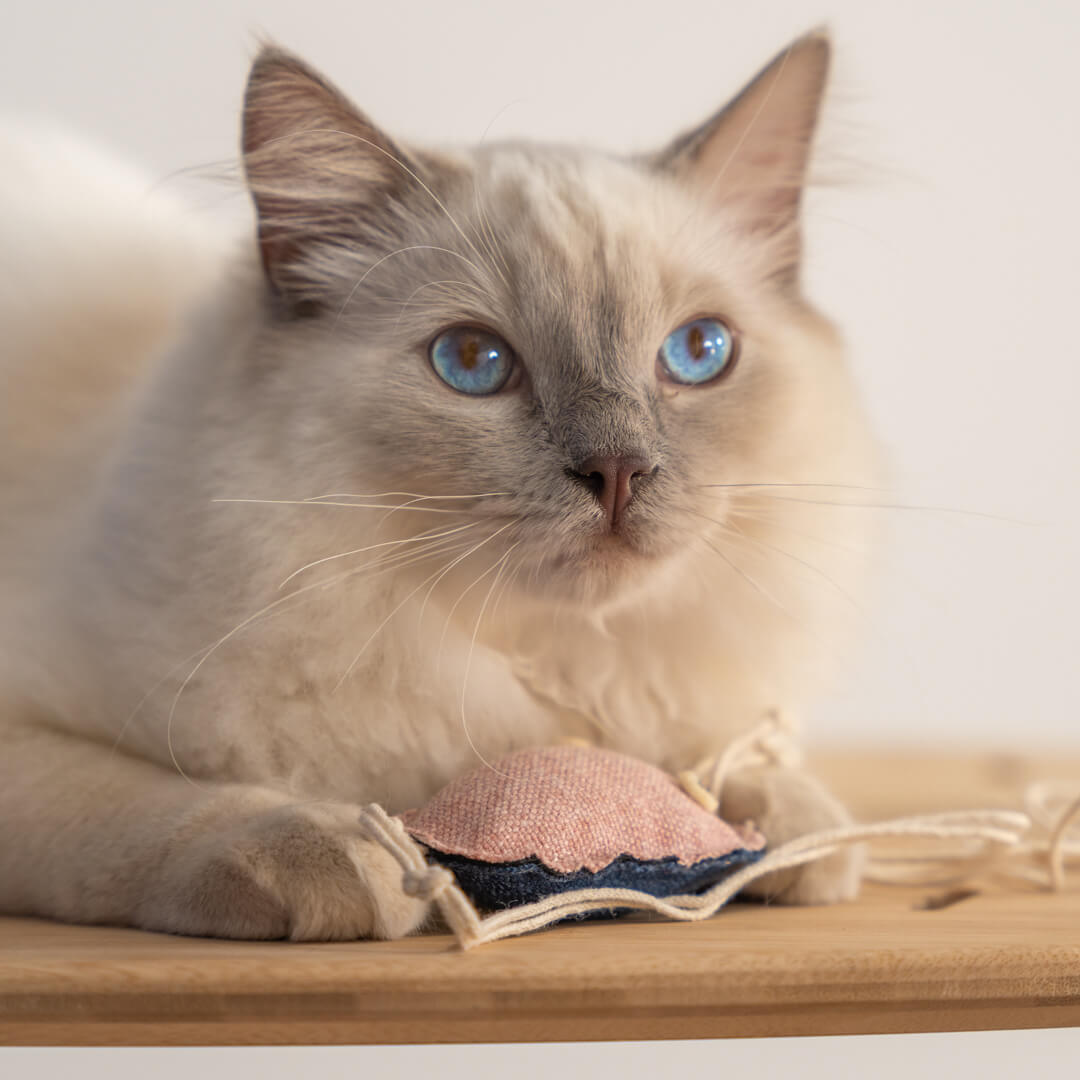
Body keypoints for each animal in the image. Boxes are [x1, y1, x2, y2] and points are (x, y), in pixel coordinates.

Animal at [0, 29, 876, 941]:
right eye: (474, 363)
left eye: (698, 353)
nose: (618, 471)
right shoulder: (28, 733)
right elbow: (181, 806)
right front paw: (360, 865)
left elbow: (722, 771)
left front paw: (799, 833)